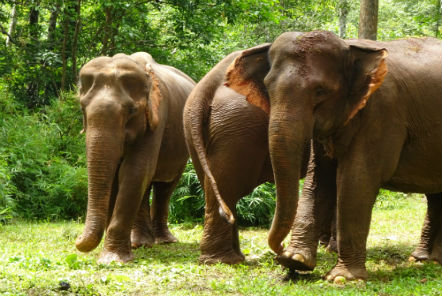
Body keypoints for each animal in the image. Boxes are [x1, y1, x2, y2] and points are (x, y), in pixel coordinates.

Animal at [75, 52, 195, 264]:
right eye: (82, 108)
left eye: (131, 111)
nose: (77, 239)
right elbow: (118, 176)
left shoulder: (157, 117)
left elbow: (134, 171)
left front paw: (112, 259)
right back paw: (141, 243)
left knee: (166, 185)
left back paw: (164, 241)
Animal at [226, 31, 440, 280]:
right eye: (268, 87)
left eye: (320, 91)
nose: (279, 249)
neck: (350, 47)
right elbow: (319, 179)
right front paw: (294, 260)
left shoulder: (383, 113)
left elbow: (356, 180)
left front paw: (342, 278)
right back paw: (425, 260)